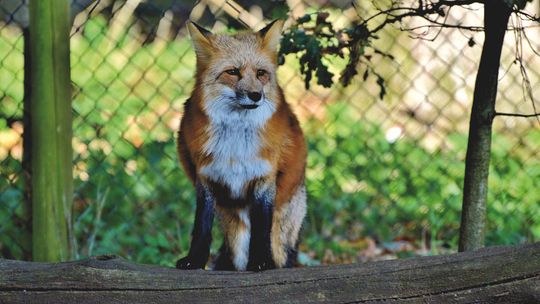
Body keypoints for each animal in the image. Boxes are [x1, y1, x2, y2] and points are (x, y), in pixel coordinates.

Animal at [175, 20, 306, 272]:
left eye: (261, 73)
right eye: (233, 72)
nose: (256, 95)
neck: (235, 146)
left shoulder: (264, 179)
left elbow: (261, 230)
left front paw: (262, 262)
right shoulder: (206, 178)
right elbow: (201, 228)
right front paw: (194, 260)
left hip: (281, 235)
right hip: (235, 234)